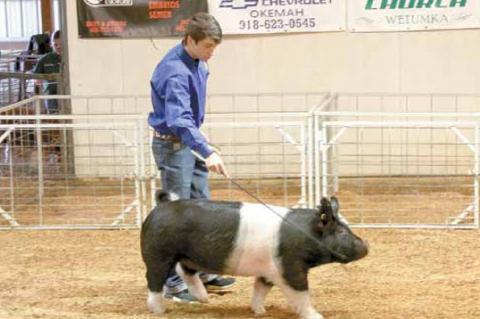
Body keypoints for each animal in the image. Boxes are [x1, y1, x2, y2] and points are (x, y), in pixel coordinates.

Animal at [141, 192, 370, 319]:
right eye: (340, 232)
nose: (366, 245)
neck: (306, 236)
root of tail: (161, 205)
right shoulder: (290, 267)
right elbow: (301, 294)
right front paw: (317, 316)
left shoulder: (268, 270)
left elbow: (260, 289)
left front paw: (260, 312)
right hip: (159, 255)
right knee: (154, 281)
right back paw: (159, 311)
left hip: (187, 256)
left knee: (184, 270)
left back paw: (204, 298)